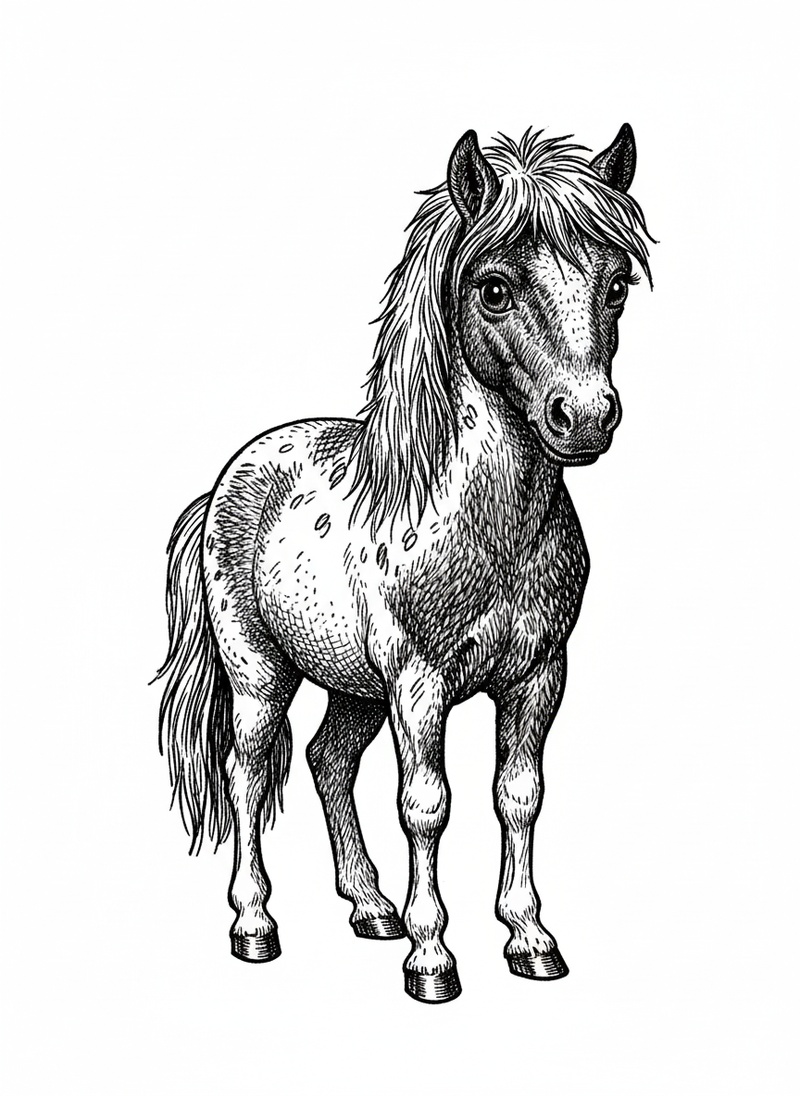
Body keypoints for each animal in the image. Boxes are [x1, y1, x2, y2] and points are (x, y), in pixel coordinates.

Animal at [156, 124, 652, 1003]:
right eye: (494, 288)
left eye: (617, 283)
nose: (586, 416)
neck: (491, 531)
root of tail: (225, 482)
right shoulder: (420, 686)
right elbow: (427, 804)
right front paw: (432, 958)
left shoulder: (538, 677)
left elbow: (518, 797)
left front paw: (530, 939)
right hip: (260, 678)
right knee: (250, 773)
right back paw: (255, 924)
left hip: (355, 689)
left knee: (327, 763)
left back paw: (370, 905)